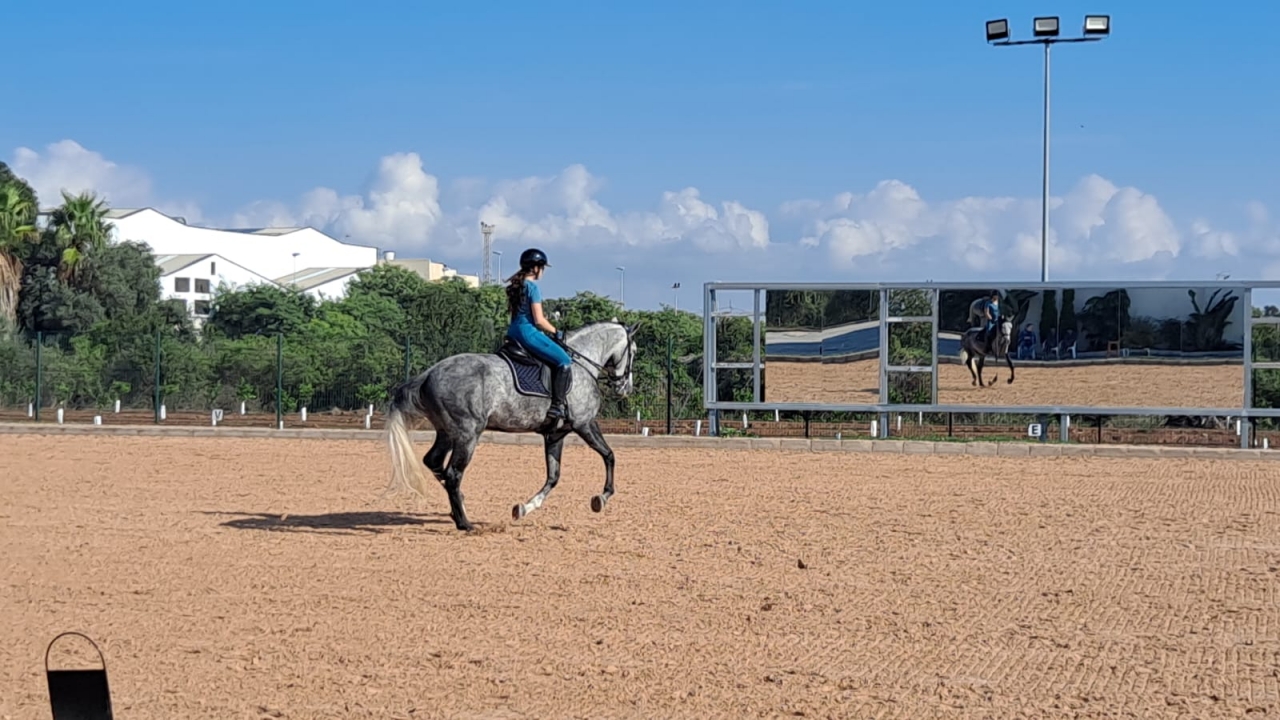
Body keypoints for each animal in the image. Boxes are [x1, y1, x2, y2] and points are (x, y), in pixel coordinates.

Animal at [383, 320, 639, 532]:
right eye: (634, 351)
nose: (625, 388)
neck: (580, 364)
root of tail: (428, 374)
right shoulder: (584, 423)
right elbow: (609, 455)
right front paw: (602, 498)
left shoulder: (556, 434)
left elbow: (553, 476)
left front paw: (524, 508)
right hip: (468, 435)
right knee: (453, 473)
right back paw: (465, 523)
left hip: (447, 433)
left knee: (434, 462)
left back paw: (460, 509)